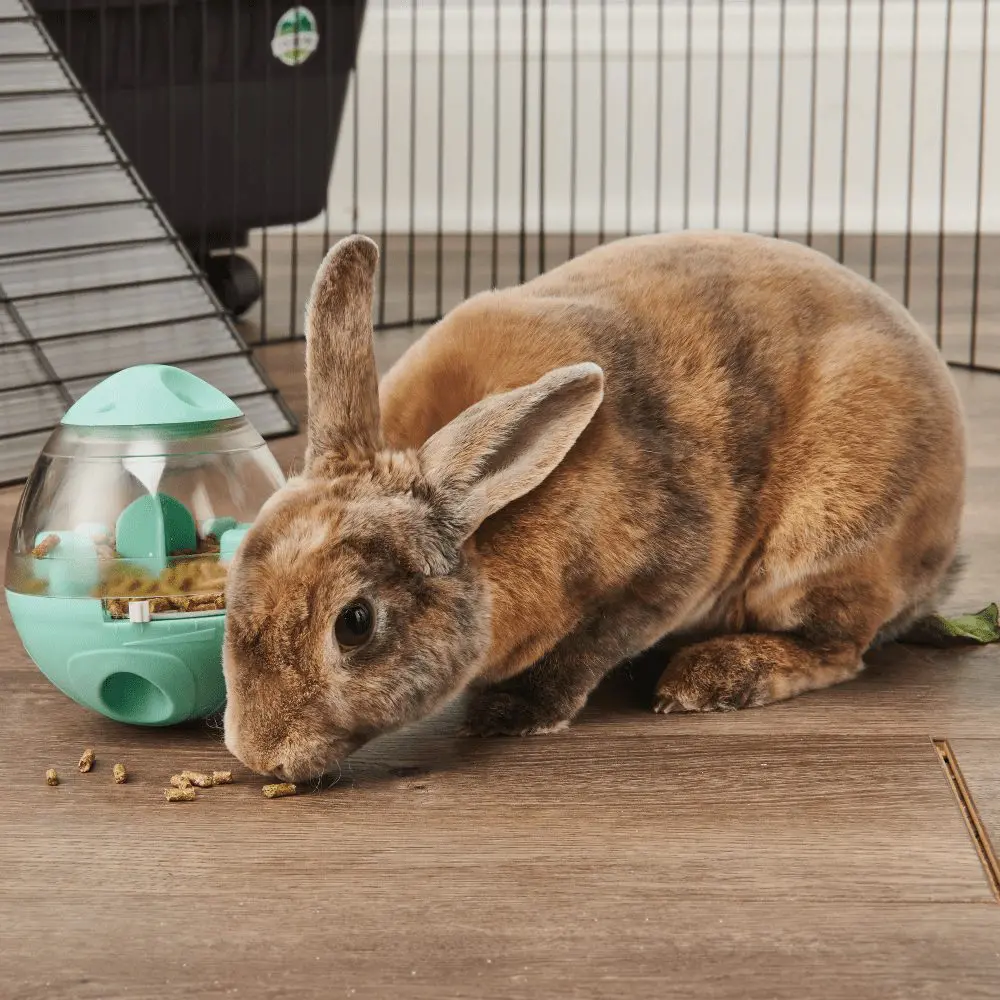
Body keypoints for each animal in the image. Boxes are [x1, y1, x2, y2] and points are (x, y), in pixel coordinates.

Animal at [222, 231, 965, 782]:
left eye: (355, 623)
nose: (261, 755)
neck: (484, 529)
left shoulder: (663, 574)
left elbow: (586, 648)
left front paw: (514, 712)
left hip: (823, 546)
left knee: (840, 649)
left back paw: (711, 680)